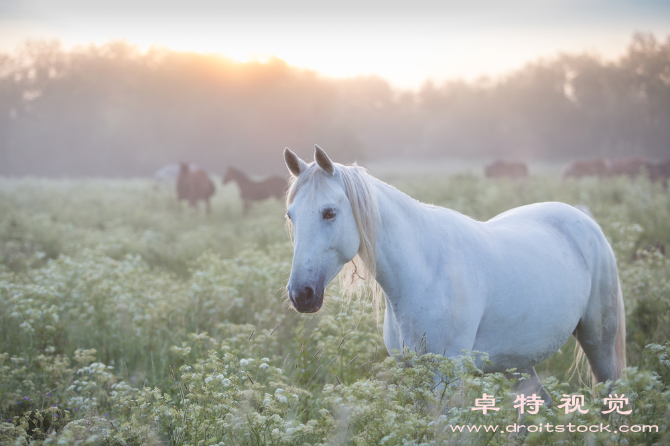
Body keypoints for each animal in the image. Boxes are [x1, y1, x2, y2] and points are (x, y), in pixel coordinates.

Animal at [284, 145, 632, 400]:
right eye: (291, 215)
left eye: (329, 213)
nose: (301, 294)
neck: (422, 274)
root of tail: (584, 219)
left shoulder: (445, 377)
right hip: (516, 362)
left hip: (599, 343)